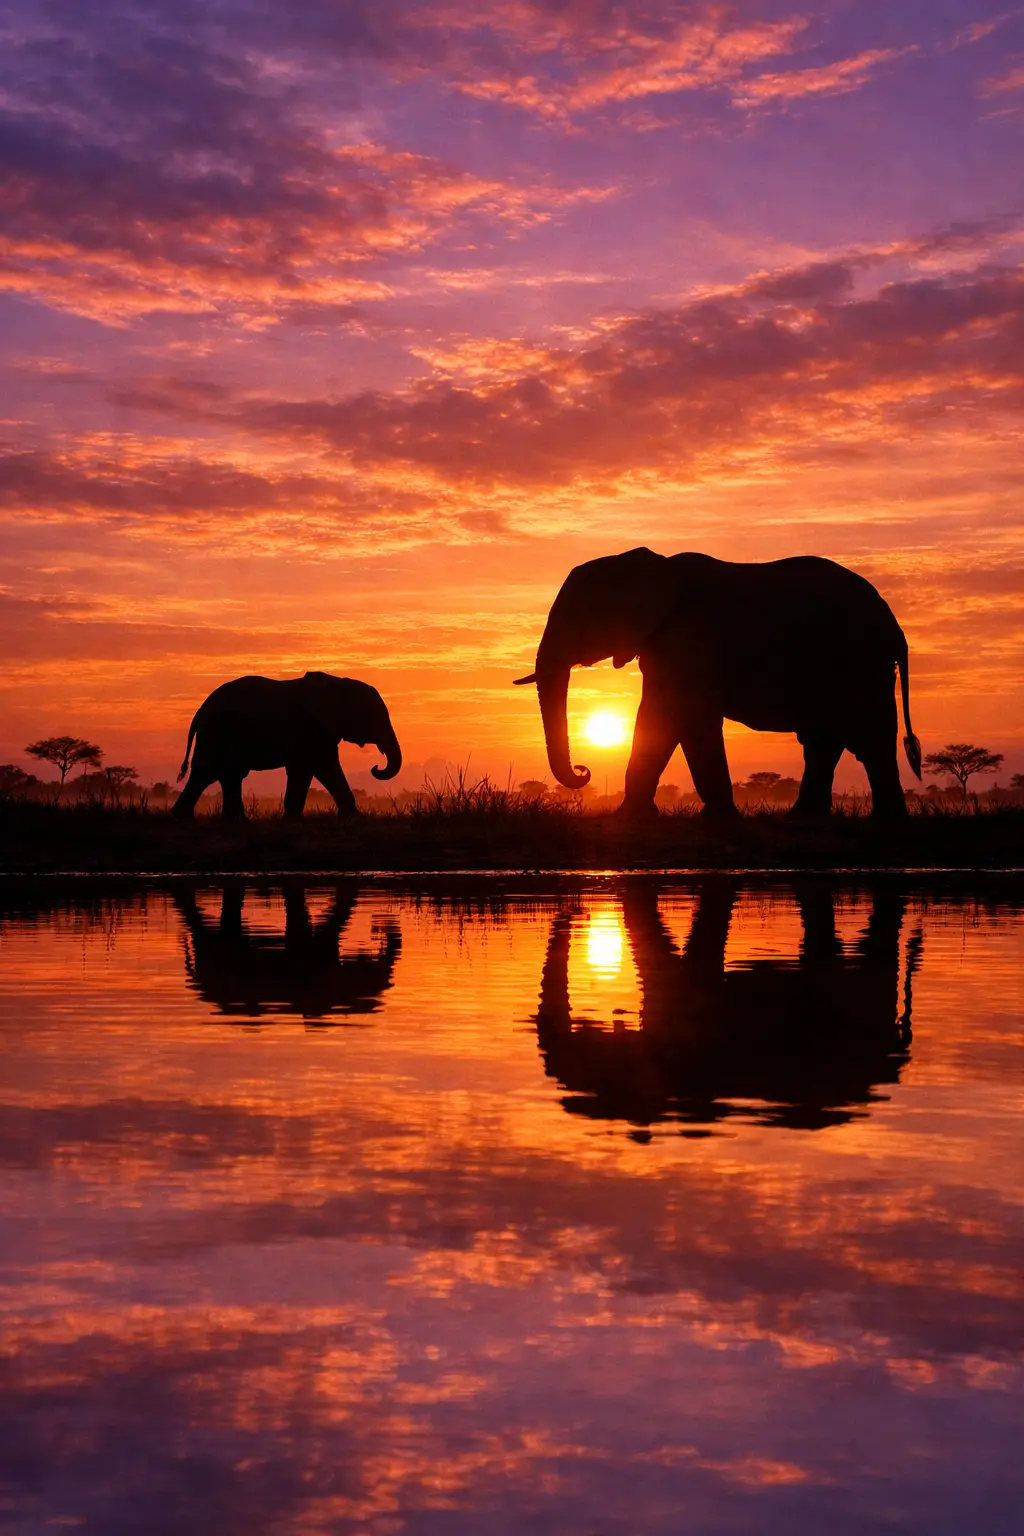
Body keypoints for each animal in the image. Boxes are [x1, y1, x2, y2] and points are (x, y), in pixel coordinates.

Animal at [173, 670, 401, 820]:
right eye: (374, 716)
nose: (375, 767)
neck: (339, 683)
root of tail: (200, 711)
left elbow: (322, 768)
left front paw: (353, 817)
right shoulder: (308, 727)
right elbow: (310, 767)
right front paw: (293, 820)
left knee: (226, 774)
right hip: (217, 732)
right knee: (209, 772)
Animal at [515, 548, 921, 818]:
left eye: (579, 618)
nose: (584, 771)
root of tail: (896, 627)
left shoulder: (692, 638)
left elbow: (690, 720)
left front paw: (716, 822)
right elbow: (655, 719)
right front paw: (630, 820)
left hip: (861, 662)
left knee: (868, 739)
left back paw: (884, 825)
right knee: (826, 741)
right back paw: (805, 822)